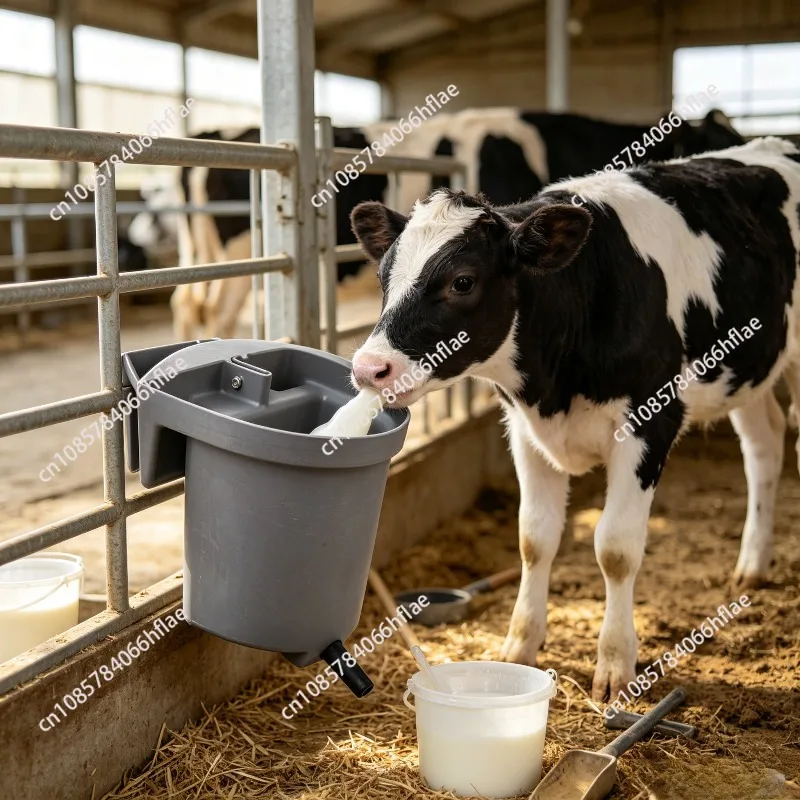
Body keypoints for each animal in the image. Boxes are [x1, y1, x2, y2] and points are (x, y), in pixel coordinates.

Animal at [347, 137, 800, 701]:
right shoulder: (523, 430)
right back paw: (752, 566)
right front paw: (518, 647)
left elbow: (616, 548)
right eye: (383, 276)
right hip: (751, 366)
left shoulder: (651, 422)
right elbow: (533, 538)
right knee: (765, 445)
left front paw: (615, 666)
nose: (369, 368)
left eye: (462, 282)